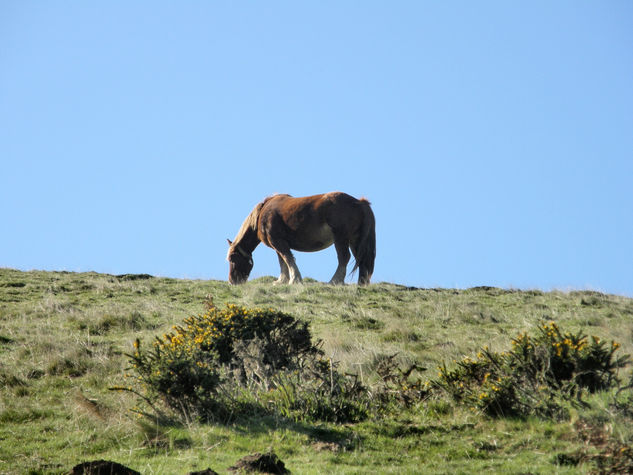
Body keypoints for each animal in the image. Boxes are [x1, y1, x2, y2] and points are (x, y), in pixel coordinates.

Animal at [227, 191, 376, 286]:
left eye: (232, 259)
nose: (232, 281)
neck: (262, 215)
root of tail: (360, 202)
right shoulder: (278, 244)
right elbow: (282, 262)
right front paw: (282, 280)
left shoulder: (278, 242)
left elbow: (288, 259)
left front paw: (294, 279)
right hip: (355, 240)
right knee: (361, 260)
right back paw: (361, 283)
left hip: (341, 239)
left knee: (344, 258)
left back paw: (335, 281)